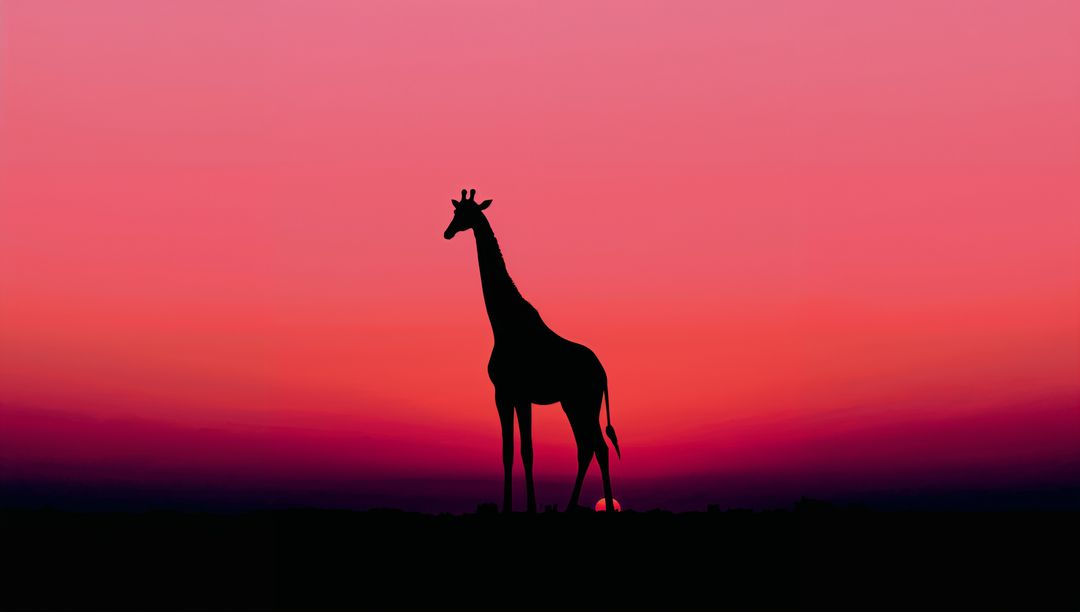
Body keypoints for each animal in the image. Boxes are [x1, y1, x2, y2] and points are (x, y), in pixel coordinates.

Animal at [444, 188, 620, 513]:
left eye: (467, 213)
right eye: (454, 211)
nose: (447, 232)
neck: (502, 324)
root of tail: (602, 373)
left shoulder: (521, 395)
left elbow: (527, 451)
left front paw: (531, 507)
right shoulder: (503, 394)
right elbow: (508, 451)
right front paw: (509, 507)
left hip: (585, 402)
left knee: (599, 446)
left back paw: (607, 509)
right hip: (572, 403)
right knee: (586, 447)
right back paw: (569, 507)